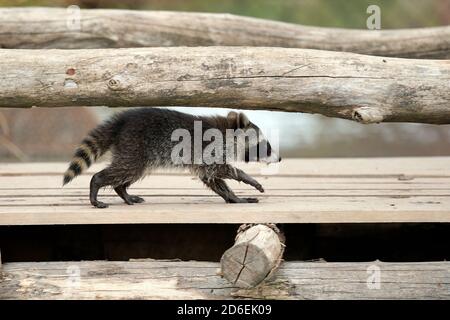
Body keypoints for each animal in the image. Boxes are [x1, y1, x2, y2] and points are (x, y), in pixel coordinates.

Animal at [62, 107, 282, 208]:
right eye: (265, 146)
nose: (279, 159)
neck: (226, 132)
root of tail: (122, 121)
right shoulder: (209, 149)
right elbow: (219, 170)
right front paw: (247, 178)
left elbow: (212, 179)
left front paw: (233, 197)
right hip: (136, 145)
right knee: (125, 169)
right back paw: (96, 183)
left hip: (136, 150)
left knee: (129, 172)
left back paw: (123, 192)